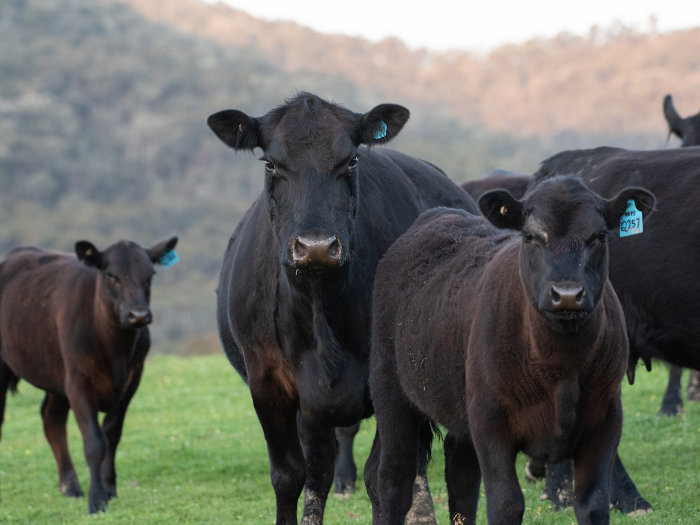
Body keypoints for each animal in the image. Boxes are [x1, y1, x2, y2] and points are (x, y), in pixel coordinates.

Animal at [0, 236, 178, 512]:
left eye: (150, 275)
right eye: (111, 275)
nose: (138, 315)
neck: (116, 350)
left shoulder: (132, 380)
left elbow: (112, 434)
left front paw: (109, 488)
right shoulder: (78, 382)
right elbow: (94, 441)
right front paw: (97, 499)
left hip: (56, 375)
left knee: (52, 419)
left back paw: (70, 487)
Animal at [366, 177, 656, 524]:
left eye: (599, 236)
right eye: (530, 236)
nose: (567, 294)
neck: (562, 369)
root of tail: (436, 216)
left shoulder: (606, 419)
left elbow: (594, 502)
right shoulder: (490, 421)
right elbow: (506, 503)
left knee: (461, 475)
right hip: (390, 390)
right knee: (393, 478)